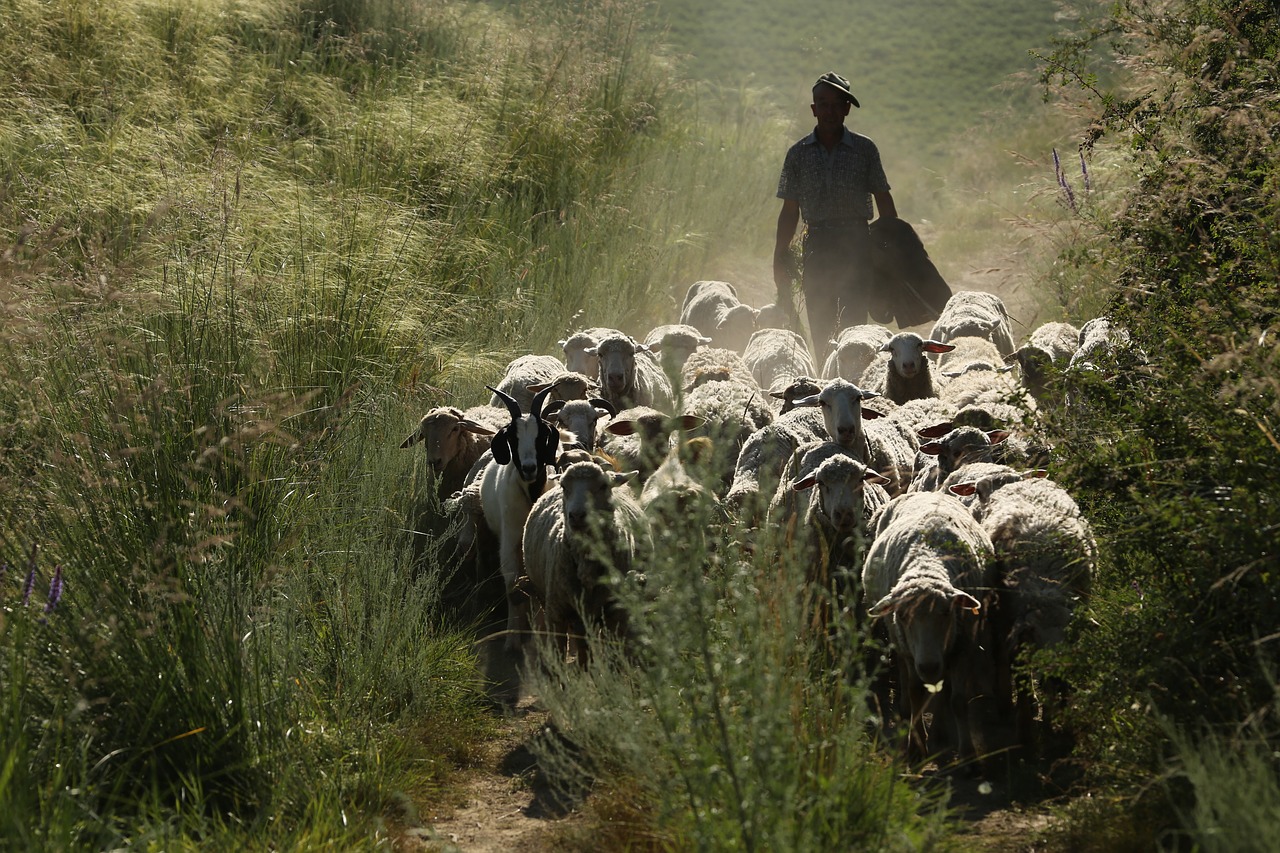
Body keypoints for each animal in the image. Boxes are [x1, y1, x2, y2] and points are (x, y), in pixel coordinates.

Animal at [519, 458, 650, 666]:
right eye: (564, 486)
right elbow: (558, 654)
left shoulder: (616, 612)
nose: (577, 515)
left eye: (603, 486)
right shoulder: (556, 612)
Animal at [860, 489, 998, 758]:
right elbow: (915, 693)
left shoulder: (963, 645)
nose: (929, 666)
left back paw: (939, 734)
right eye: (903, 615)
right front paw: (915, 747)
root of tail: (925, 491)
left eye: (946, 612)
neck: (927, 561)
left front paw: (967, 753)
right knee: (907, 679)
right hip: (900, 644)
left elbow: (957, 700)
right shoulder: (910, 649)